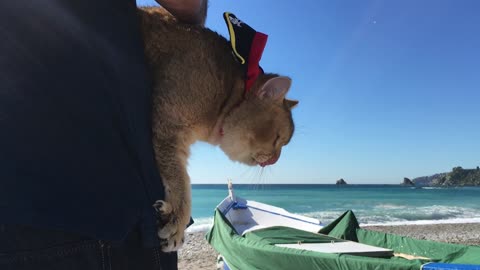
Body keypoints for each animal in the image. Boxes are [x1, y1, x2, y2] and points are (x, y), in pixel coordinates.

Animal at [138, 6, 296, 251]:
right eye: (278, 139)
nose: (275, 159)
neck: (225, 93)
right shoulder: (168, 123)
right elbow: (181, 180)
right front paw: (179, 219)